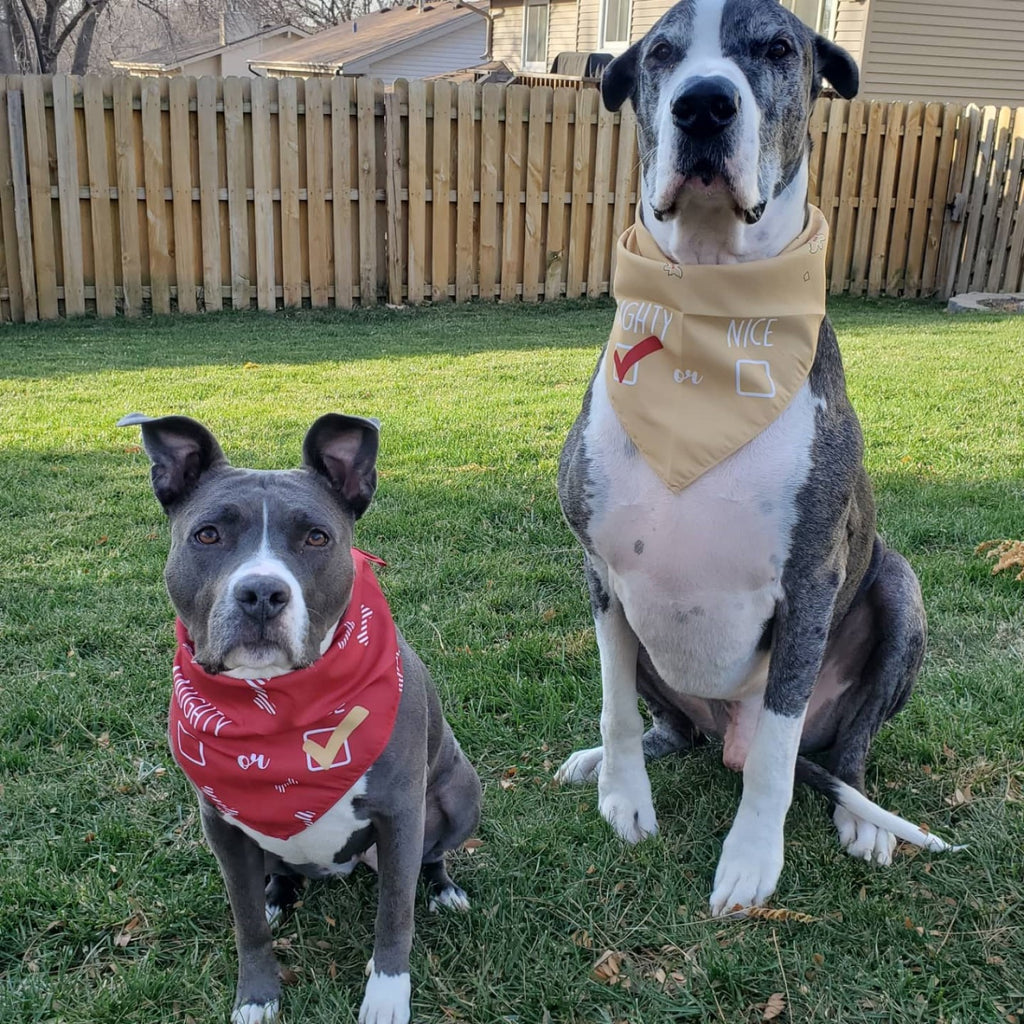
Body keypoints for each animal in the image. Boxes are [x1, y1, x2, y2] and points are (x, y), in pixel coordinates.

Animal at [121, 411, 481, 1019]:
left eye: (317, 537)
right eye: (207, 534)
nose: (262, 593)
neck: (278, 706)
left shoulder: (400, 812)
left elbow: (394, 915)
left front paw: (387, 994)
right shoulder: (221, 825)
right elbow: (245, 924)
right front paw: (257, 995)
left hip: (460, 793)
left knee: (429, 861)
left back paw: (445, 890)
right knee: (277, 877)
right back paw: (276, 896)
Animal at [557, 0, 954, 913]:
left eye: (777, 48)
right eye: (661, 54)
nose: (704, 105)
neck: (707, 315)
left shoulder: (809, 583)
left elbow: (775, 748)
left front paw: (751, 858)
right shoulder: (601, 575)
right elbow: (614, 706)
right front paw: (623, 795)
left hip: (898, 587)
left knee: (840, 749)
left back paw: (861, 819)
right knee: (672, 727)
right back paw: (611, 761)